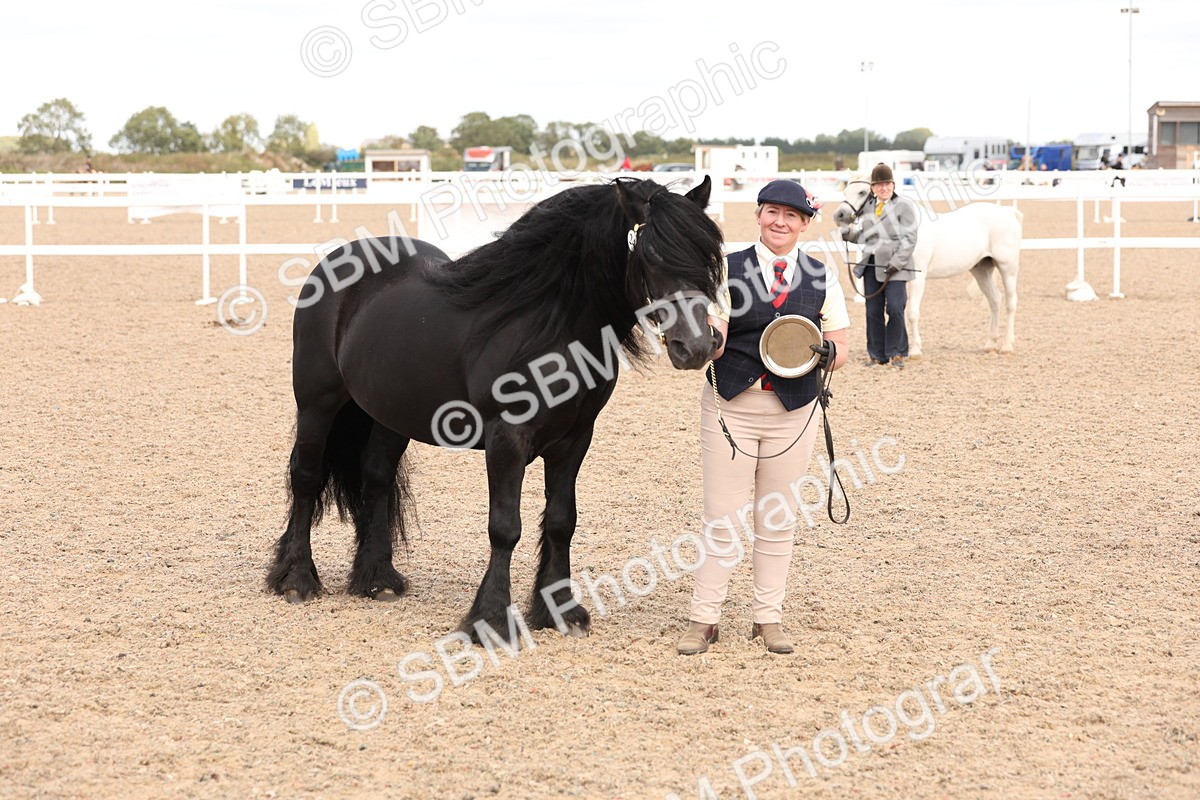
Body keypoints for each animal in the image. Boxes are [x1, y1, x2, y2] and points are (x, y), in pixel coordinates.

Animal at [267, 176, 724, 645]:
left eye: (709, 256)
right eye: (651, 255)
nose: (697, 346)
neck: (548, 327)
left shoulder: (575, 439)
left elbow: (561, 520)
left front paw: (561, 611)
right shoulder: (507, 439)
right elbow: (505, 527)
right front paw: (490, 619)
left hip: (388, 414)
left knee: (375, 476)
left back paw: (377, 579)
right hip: (317, 401)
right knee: (306, 477)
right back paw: (296, 579)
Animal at [834, 180, 1023, 356]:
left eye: (861, 192)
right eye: (845, 191)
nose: (839, 215)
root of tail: (1008, 212)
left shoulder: (918, 277)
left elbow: (912, 312)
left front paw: (915, 350)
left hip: (1008, 267)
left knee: (1011, 303)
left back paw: (1007, 346)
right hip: (981, 270)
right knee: (995, 300)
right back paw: (990, 344)